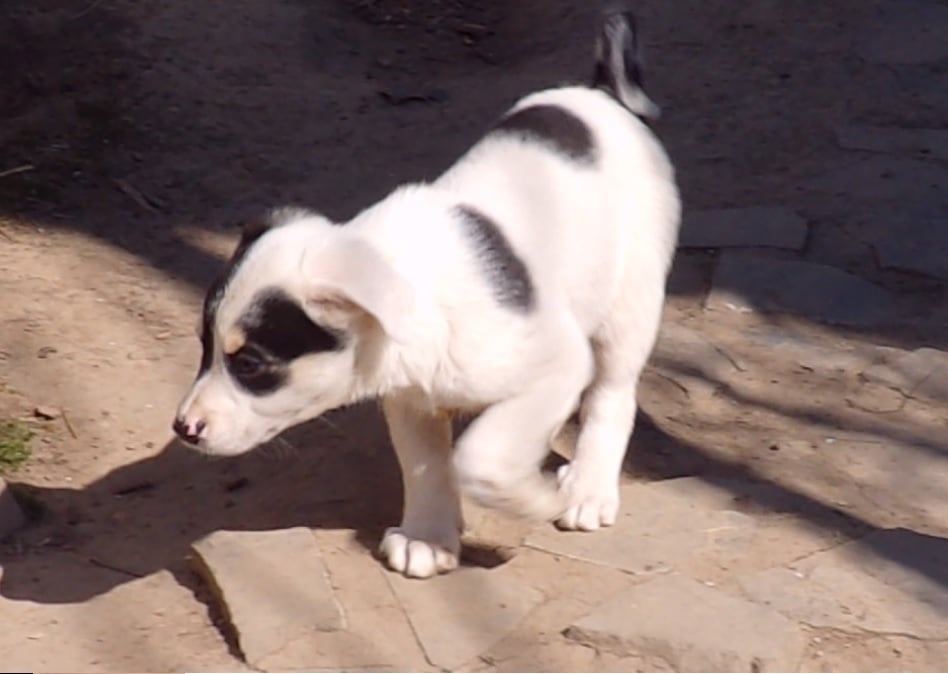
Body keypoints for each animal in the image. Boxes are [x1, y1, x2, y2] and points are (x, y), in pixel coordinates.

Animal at [174, 6, 680, 576]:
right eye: (204, 347)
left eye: (251, 364)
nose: (182, 428)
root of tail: (602, 94)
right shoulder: (411, 400)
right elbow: (427, 466)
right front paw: (429, 538)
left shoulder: (558, 363)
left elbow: (480, 458)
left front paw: (536, 498)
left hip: (629, 306)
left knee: (612, 396)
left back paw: (589, 488)